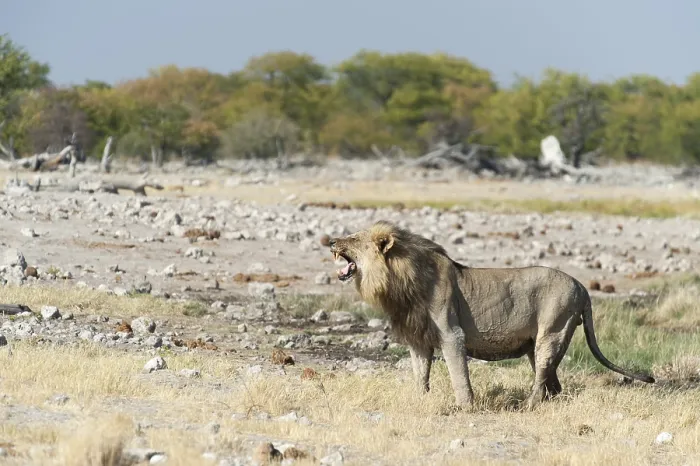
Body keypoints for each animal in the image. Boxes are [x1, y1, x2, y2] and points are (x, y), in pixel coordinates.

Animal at [328, 220, 655, 410]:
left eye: (353, 239)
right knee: (553, 383)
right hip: (541, 343)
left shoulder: (452, 334)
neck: (399, 281)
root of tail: (582, 286)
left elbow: (459, 375)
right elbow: (420, 375)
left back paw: (526, 407)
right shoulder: (418, 339)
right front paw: (418, 402)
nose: (331, 241)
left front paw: (465, 408)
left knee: (541, 378)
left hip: (553, 332)